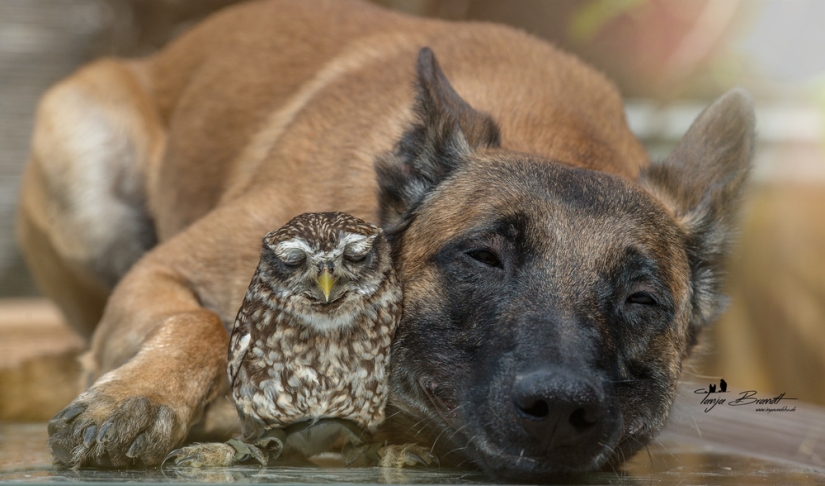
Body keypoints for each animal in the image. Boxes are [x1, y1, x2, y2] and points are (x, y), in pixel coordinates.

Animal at [17, 0, 752, 478]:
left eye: (641, 302)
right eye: (484, 258)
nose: (560, 407)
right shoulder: (159, 273)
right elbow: (204, 321)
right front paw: (138, 397)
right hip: (79, 154)